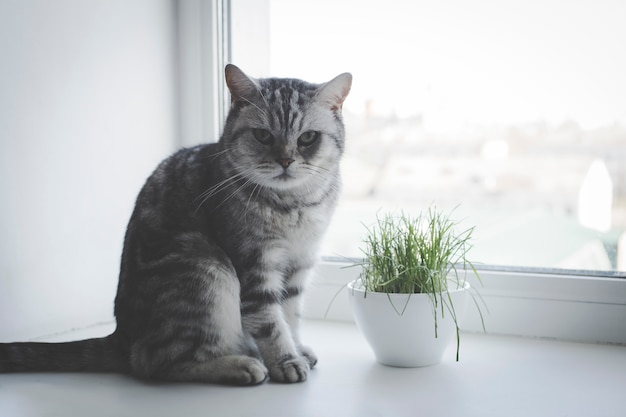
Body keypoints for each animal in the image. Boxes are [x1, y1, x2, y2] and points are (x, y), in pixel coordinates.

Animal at [0, 63, 352, 386]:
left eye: (307, 138)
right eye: (263, 135)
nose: (285, 160)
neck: (295, 204)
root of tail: (120, 337)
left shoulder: (299, 264)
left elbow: (291, 315)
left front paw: (298, 348)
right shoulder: (255, 266)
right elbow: (271, 322)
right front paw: (286, 361)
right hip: (206, 269)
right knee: (155, 363)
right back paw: (240, 366)